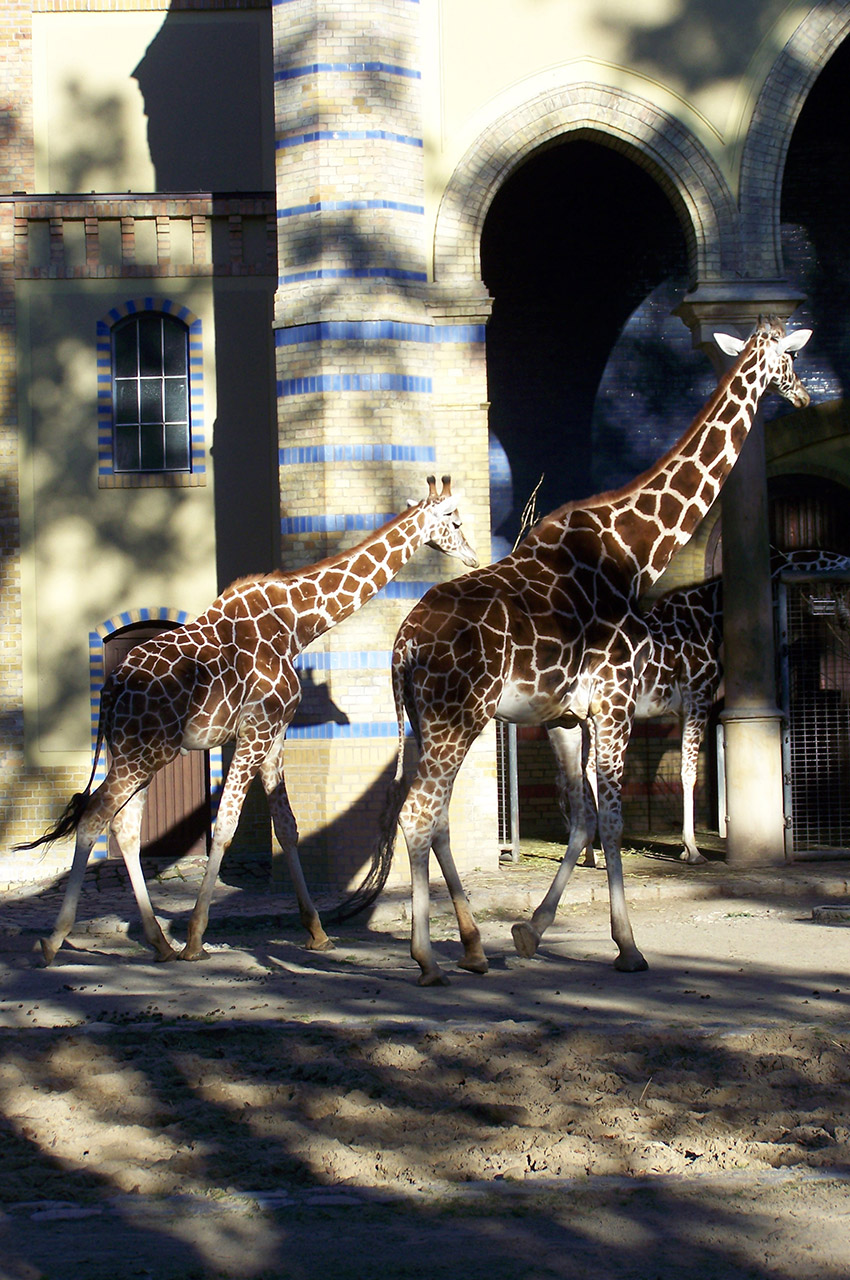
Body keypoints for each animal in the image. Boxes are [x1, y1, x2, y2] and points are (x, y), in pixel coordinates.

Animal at [16, 476, 478, 962]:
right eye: (455, 520)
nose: (472, 556)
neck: (298, 623)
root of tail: (112, 688)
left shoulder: (275, 734)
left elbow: (287, 826)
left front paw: (316, 931)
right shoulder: (256, 729)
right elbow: (225, 825)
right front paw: (196, 937)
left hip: (136, 752)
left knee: (124, 828)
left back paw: (158, 941)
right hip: (142, 753)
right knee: (93, 819)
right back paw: (55, 939)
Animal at [378, 314, 809, 983]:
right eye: (787, 358)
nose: (806, 395)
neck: (635, 549)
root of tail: (402, 644)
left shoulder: (567, 717)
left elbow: (581, 817)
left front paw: (531, 930)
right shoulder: (615, 704)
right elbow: (610, 817)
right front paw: (628, 946)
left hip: (425, 722)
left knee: (431, 814)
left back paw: (471, 947)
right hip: (458, 718)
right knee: (420, 813)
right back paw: (429, 958)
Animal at [578, 545, 850, 865]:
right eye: (843, 587)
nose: (844, 622)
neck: (712, 613)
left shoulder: (684, 708)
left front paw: (687, 848)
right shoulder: (700, 695)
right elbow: (689, 773)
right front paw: (693, 850)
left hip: (591, 716)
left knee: (587, 769)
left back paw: (592, 854)